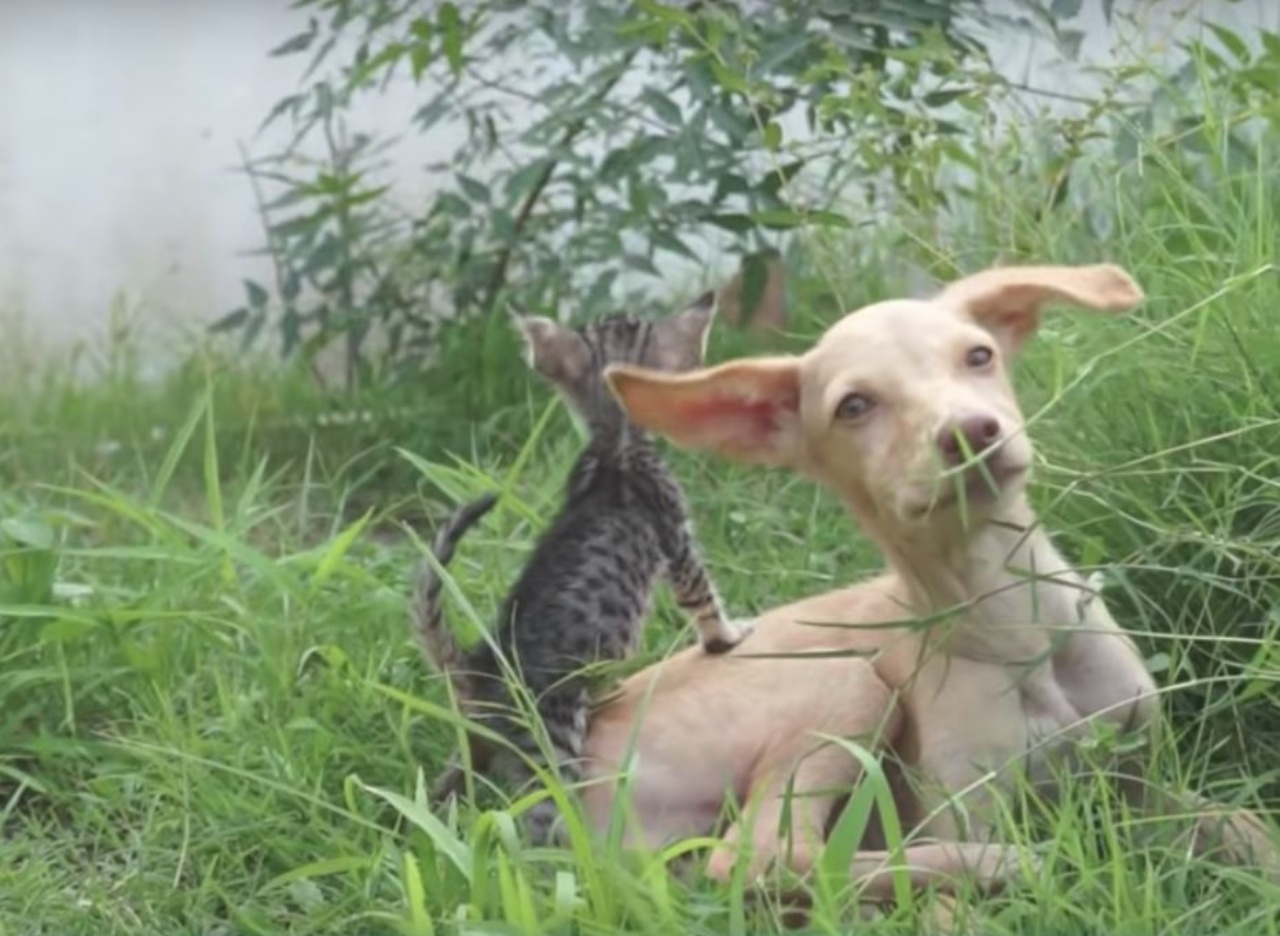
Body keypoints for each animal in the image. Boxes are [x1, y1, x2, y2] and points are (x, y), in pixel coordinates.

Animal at [409, 294, 747, 850]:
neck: (614, 441)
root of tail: (481, 666)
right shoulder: (675, 535)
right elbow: (703, 599)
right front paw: (731, 634)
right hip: (552, 747)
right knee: (538, 823)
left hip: (471, 748)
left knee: (441, 793)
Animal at [576, 263, 1274, 906]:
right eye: (854, 406)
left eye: (979, 355)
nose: (971, 432)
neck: (1014, 627)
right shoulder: (964, 804)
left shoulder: (1142, 780)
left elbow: (1238, 821)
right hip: (849, 678)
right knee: (767, 857)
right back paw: (1002, 863)